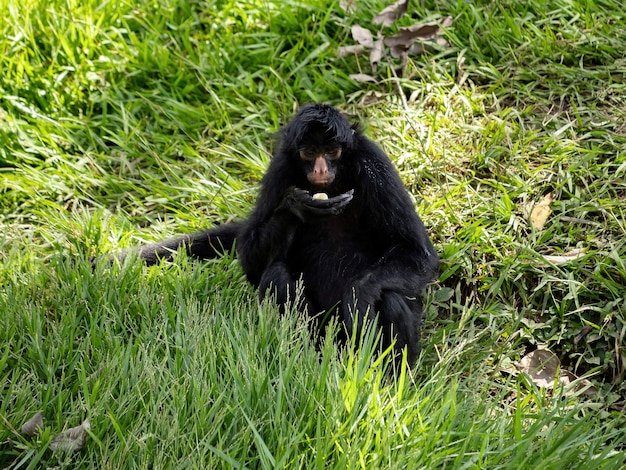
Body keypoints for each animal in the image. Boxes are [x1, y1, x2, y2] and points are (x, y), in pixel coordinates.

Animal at [120, 104, 438, 366]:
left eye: (331, 151)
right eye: (309, 153)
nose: (320, 169)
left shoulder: (374, 164)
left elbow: (419, 255)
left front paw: (357, 298)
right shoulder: (280, 169)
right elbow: (251, 263)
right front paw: (295, 206)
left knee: (390, 297)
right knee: (277, 276)